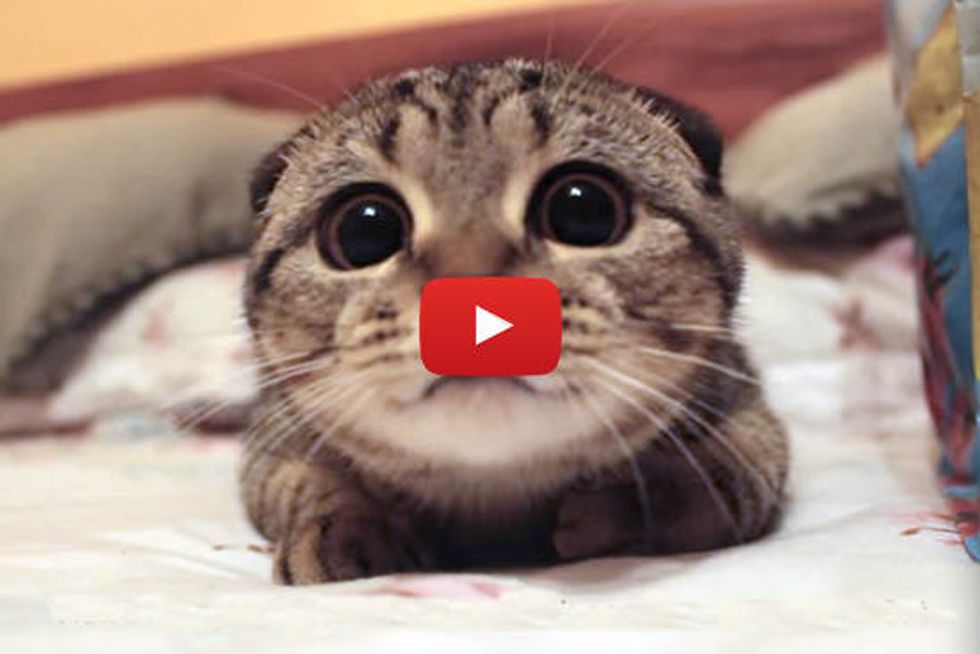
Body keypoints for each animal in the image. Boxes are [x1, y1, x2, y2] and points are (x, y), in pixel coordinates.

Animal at [237, 60, 788, 584]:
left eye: (584, 209)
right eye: (363, 230)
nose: (470, 295)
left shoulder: (749, 416)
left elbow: (718, 481)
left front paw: (622, 506)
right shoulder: (271, 439)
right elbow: (303, 481)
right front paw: (348, 529)